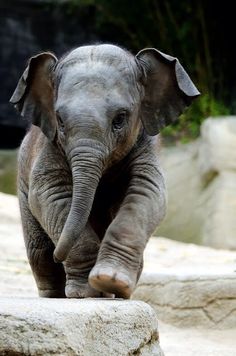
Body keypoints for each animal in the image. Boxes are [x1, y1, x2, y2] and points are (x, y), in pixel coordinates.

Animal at [10, 43, 199, 298]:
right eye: (60, 121)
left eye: (120, 119)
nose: (59, 255)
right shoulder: (49, 146)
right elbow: (50, 195)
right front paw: (85, 294)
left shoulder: (146, 145)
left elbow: (147, 193)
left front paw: (110, 281)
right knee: (39, 251)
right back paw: (57, 295)